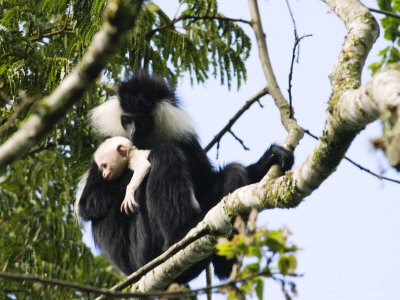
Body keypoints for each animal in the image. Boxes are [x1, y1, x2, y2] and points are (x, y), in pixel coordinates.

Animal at [76, 71, 294, 282]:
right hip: (141, 247)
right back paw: (177, 239)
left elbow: (206, 180)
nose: (133, 132)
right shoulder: (106, 143)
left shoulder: (185, 139)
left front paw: (271, 157)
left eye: (142, 122)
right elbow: (88, 205)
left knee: (233, 172)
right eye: (127, 120)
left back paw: (224, 260)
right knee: (165, 154)